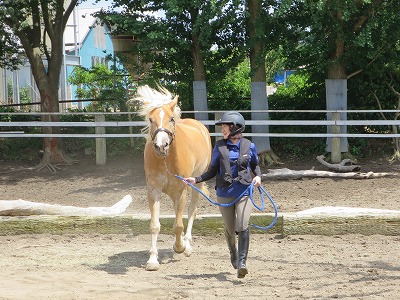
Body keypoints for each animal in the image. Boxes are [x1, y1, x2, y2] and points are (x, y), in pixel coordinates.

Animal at [135, 85, 212, 272]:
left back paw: (187, 245)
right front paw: (152, 260)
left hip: (197, 185)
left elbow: (178, 225)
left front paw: (180, 247)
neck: (166, 159)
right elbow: (155, 225)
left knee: (191, 211)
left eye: (171, 119)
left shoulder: (181, 190)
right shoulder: (153, 190)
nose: (161, 145)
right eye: (151, 119)